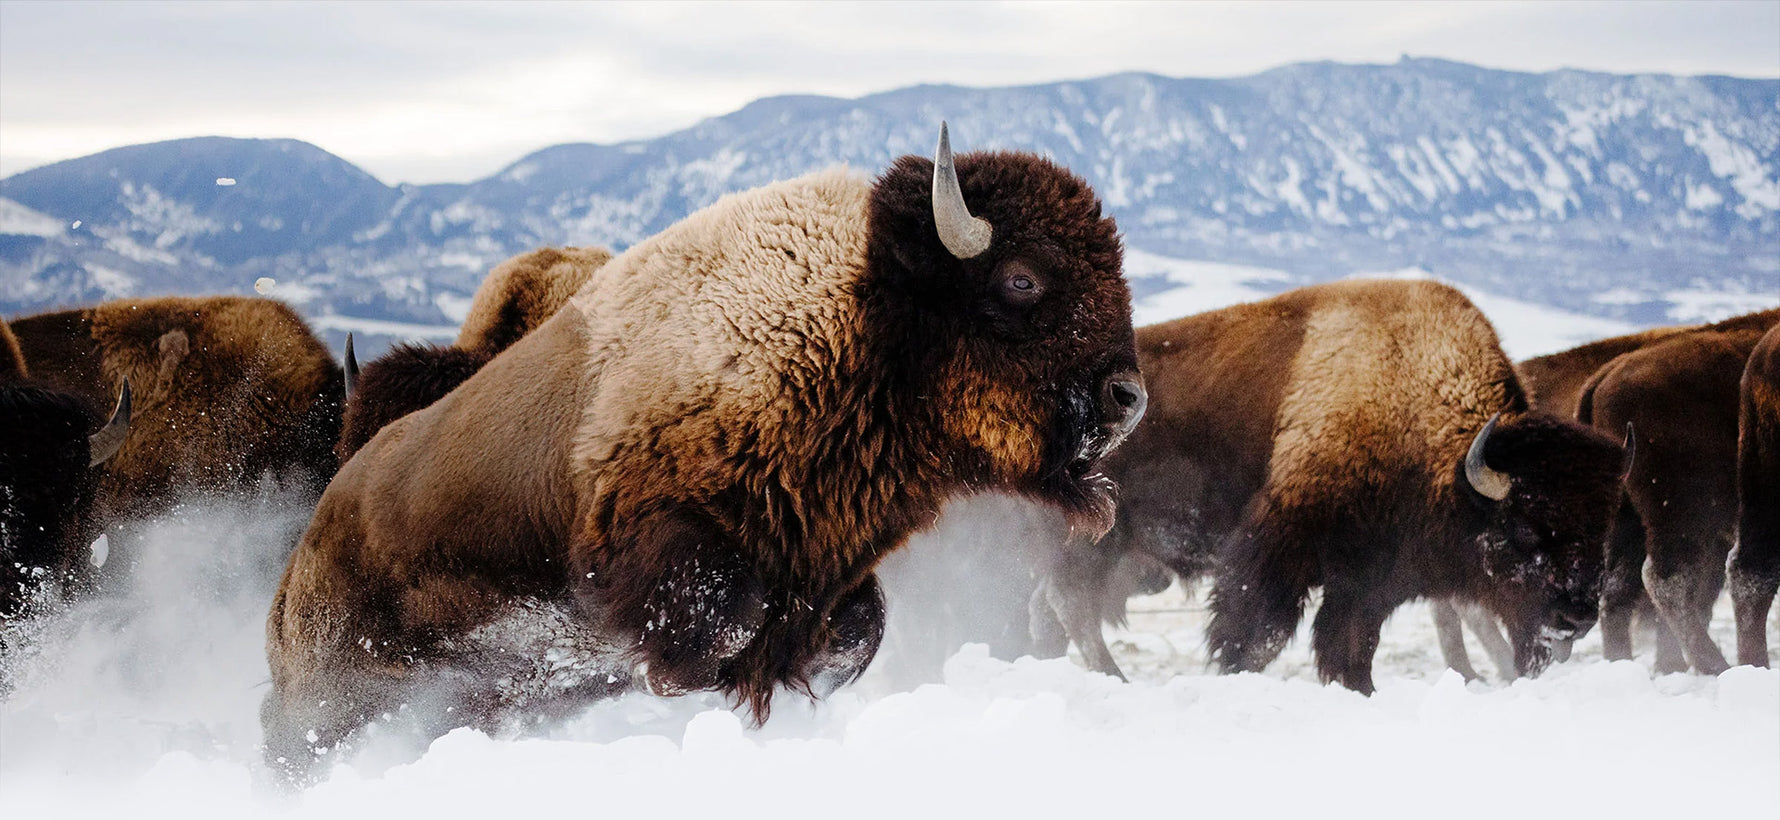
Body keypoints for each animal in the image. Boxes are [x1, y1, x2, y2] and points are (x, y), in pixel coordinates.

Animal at [263, 125, 1146, 776]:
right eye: (1022, 279)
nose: (1128, 397)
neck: (856, 316)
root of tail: (310, 541)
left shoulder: (821, 564)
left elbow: (856, 624)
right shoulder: (647, 537)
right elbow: (727, 617)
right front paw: (682, 678)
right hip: (331, 701)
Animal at [1034, 279, 1627, 692]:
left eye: (1602, 528)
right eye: (1526, 529)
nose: (1575, 618)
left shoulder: (1369, 579)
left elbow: (1351, 645)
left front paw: (1360, 691)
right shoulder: (1282, 547)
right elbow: (1258, 633)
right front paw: (1236, 677)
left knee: (1053, 607)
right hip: (1094, 541)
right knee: (1071, 604)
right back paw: (1115, 679)